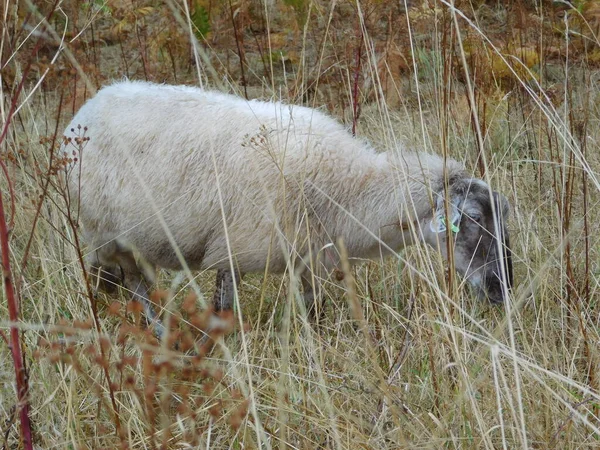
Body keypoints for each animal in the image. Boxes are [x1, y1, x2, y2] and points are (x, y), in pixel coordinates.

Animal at [62, 81, 516, 326]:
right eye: (473, 218)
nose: (503, 289)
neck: (349, 188)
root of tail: (90, 105)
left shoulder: (307, 255)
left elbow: (313, 311)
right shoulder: (233, 247)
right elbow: (225, 310)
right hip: (110, 236)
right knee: (138, 292)